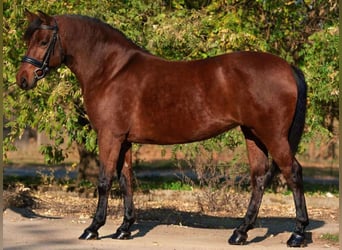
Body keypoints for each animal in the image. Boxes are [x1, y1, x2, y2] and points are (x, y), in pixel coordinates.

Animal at [16, 9, 310, 246]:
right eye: (27, 40)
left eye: (43, 41)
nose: (22, 79)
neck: (111, 71)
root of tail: (287, 67)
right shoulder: (124, 140)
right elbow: (125, 180)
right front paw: (124, 229)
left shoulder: (109, 136)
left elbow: (104, 181)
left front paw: (93, 228)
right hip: (253, 134)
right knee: (259, 178)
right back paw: (241, 232)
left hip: (273, 136)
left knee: (293, 172)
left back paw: (297, 234)